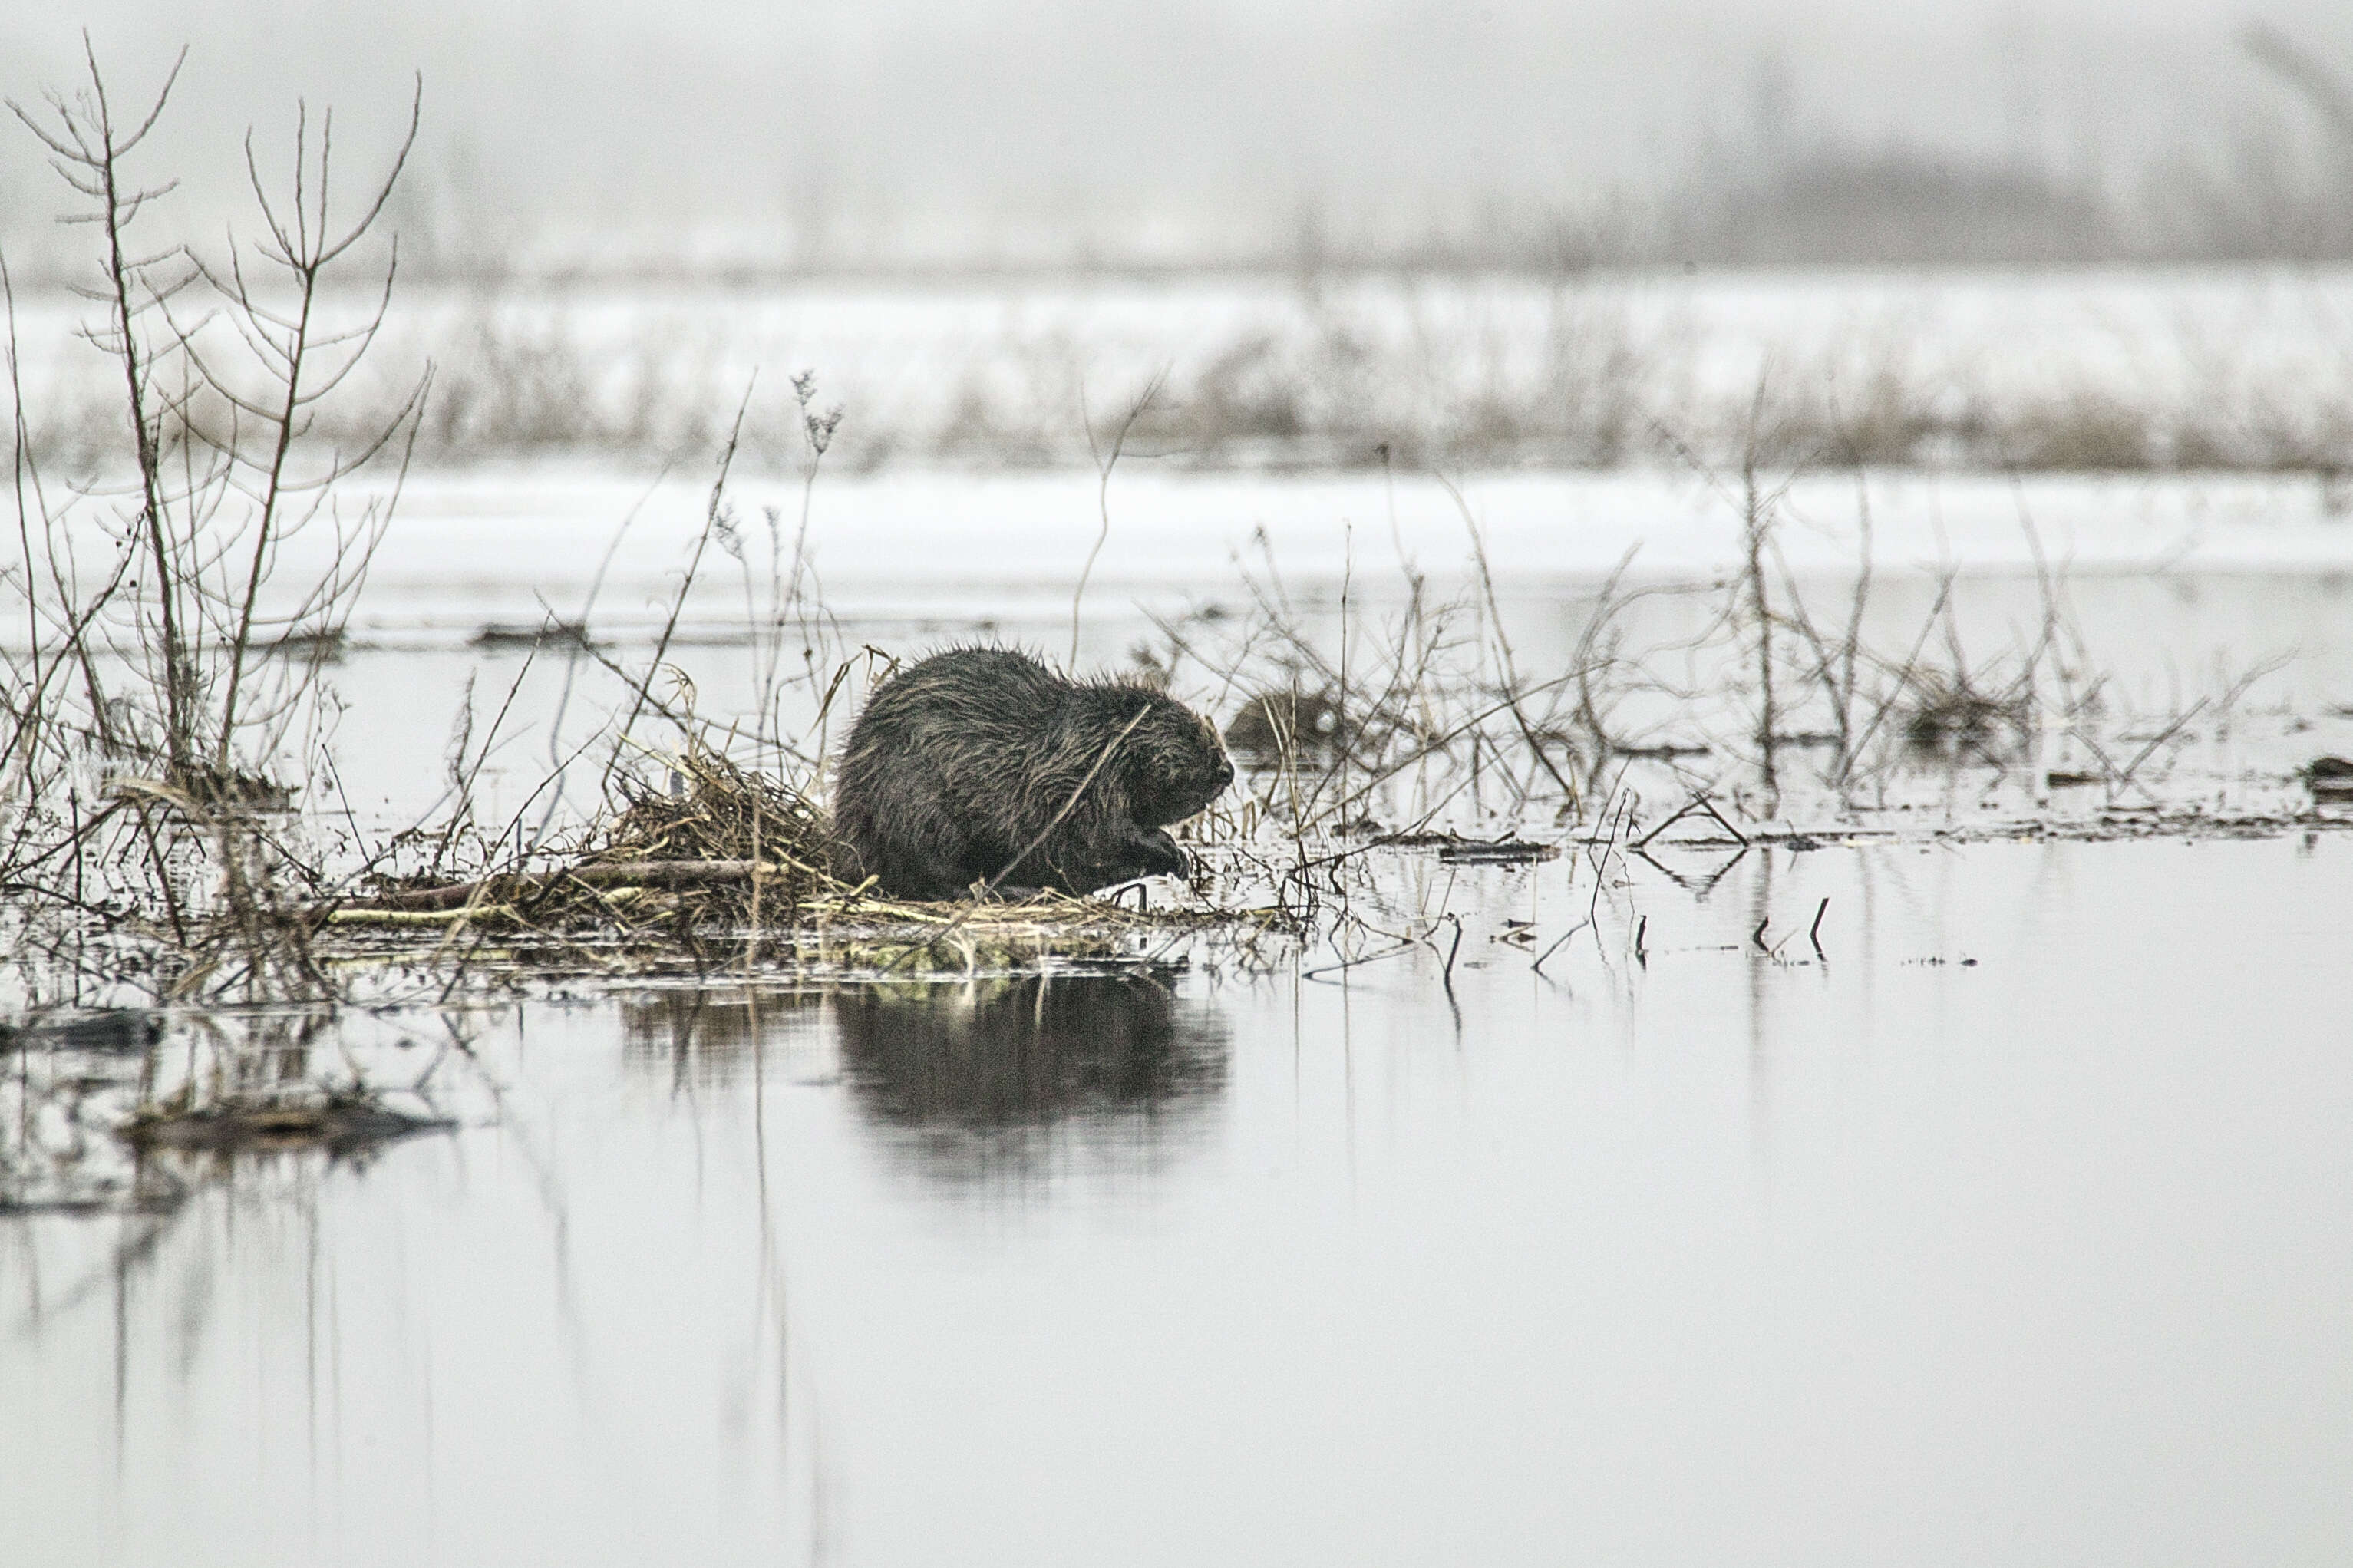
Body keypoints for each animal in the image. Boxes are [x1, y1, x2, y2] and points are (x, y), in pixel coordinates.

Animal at [833, 645, 1233, 890]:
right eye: (1188, 733)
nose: (1227, 771)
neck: (1094, 740)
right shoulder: (1077, 783)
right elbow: (1101, 835)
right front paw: (1172, 851)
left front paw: (1180, 864)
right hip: (914, 808)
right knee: (933, 876)